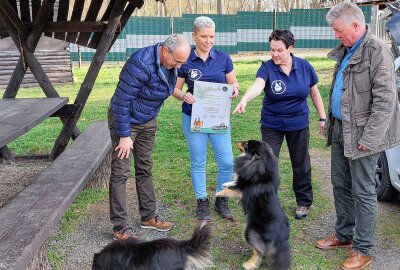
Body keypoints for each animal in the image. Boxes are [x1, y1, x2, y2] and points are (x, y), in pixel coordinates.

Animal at [216, 140, 290, 268]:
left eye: (246, 144)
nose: (236, 141)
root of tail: (280, 239)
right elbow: (233, 182)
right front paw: (226, 183)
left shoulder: (241, 189)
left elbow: (229, 190)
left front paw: (218, 193)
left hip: (249, 231)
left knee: (259, 251)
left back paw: (249, 264)